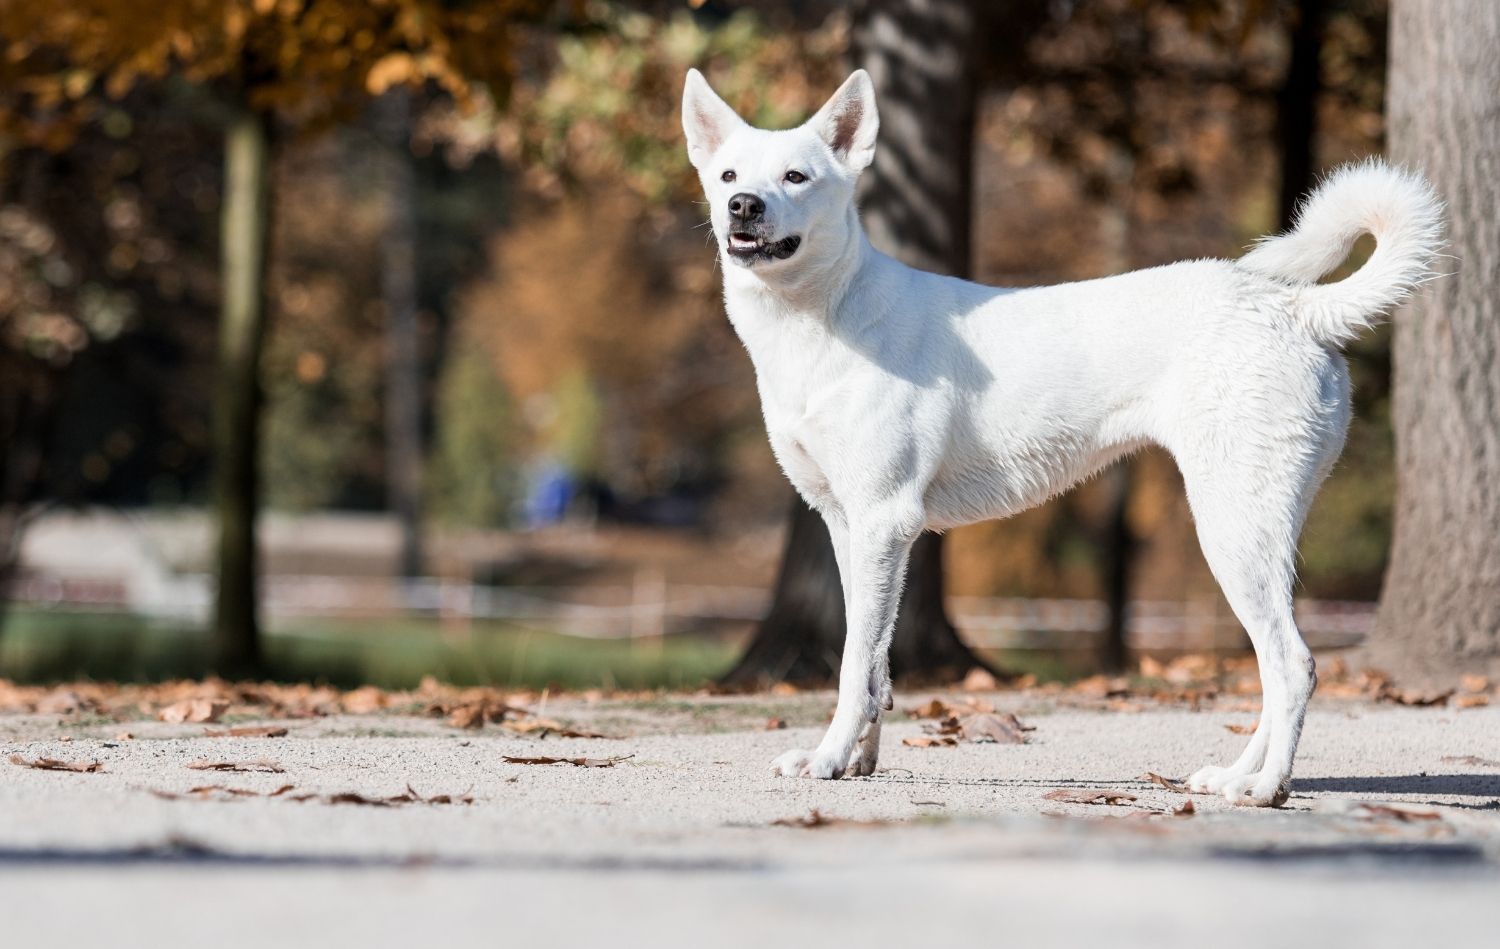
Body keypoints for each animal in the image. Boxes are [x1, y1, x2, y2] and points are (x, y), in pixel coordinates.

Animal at [687, 70, 1446, 803]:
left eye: (796, 177)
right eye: (728, 175)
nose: (743, 206)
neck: (826, 313)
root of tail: (1296, 308)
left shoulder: (883, 521)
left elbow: (852, 665)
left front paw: (828, 759)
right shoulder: (849, 528)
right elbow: (872, 663)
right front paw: (857, 761)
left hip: (1233, 529)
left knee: (1293, 664)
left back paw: (1261, 788)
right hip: (1256, 532)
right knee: (1273, 665)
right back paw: (1237, 773)